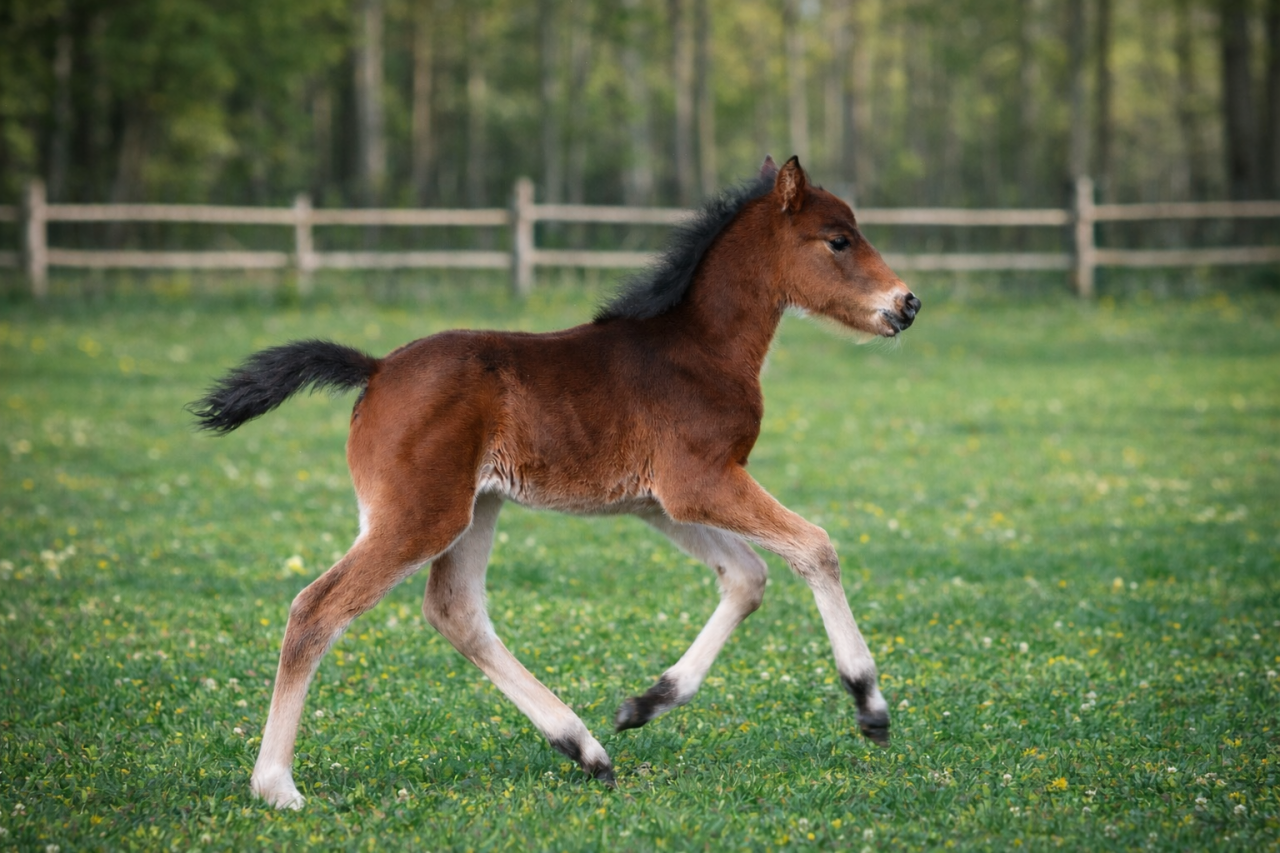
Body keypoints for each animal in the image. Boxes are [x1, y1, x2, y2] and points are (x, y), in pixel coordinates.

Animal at [191, 156, 920, 809]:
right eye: (838, 239)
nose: (908, 303)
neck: (701, 349)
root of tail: (373, 369)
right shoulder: (700, 481)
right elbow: (815, 546)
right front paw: (869, 701)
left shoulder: (659, 503)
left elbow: (747, 577)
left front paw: (646, 703)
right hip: (421, 514)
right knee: (316, 609)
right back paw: (276, 785)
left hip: (477, 507)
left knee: (455, 610)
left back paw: (585, 747)